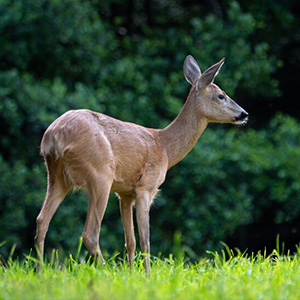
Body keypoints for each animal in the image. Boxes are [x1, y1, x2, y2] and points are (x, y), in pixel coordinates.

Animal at [34, 55, 248, 274]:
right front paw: (146, 274)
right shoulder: (146, 187)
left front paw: (131, 273)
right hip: (99, 173)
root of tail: (54, 136)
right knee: (90, 233)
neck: (165, 147)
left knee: (42, 220)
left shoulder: (125, 193)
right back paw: (105, 271)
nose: (244, 114)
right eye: (221, 95)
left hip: (56, 175)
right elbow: (145, 240)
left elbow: (131, 241)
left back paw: (41, 272)